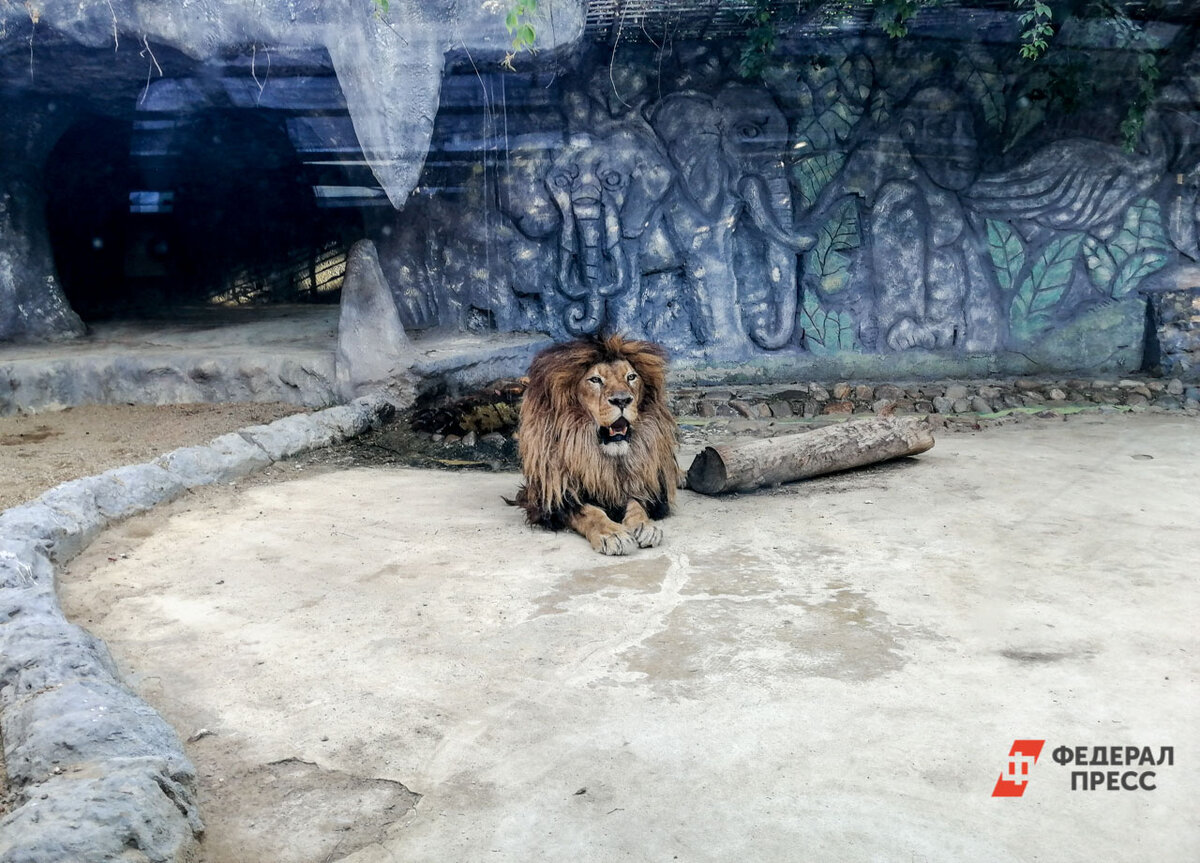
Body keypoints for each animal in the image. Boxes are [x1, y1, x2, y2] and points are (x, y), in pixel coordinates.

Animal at [511, 333, 681, 556]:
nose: (622, 400)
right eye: (595, 380)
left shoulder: (636, 484)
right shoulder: (555, 499)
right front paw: (612, 534)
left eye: (631, 377)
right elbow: (589, 512)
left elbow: (636, 504)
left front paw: (645, 526)